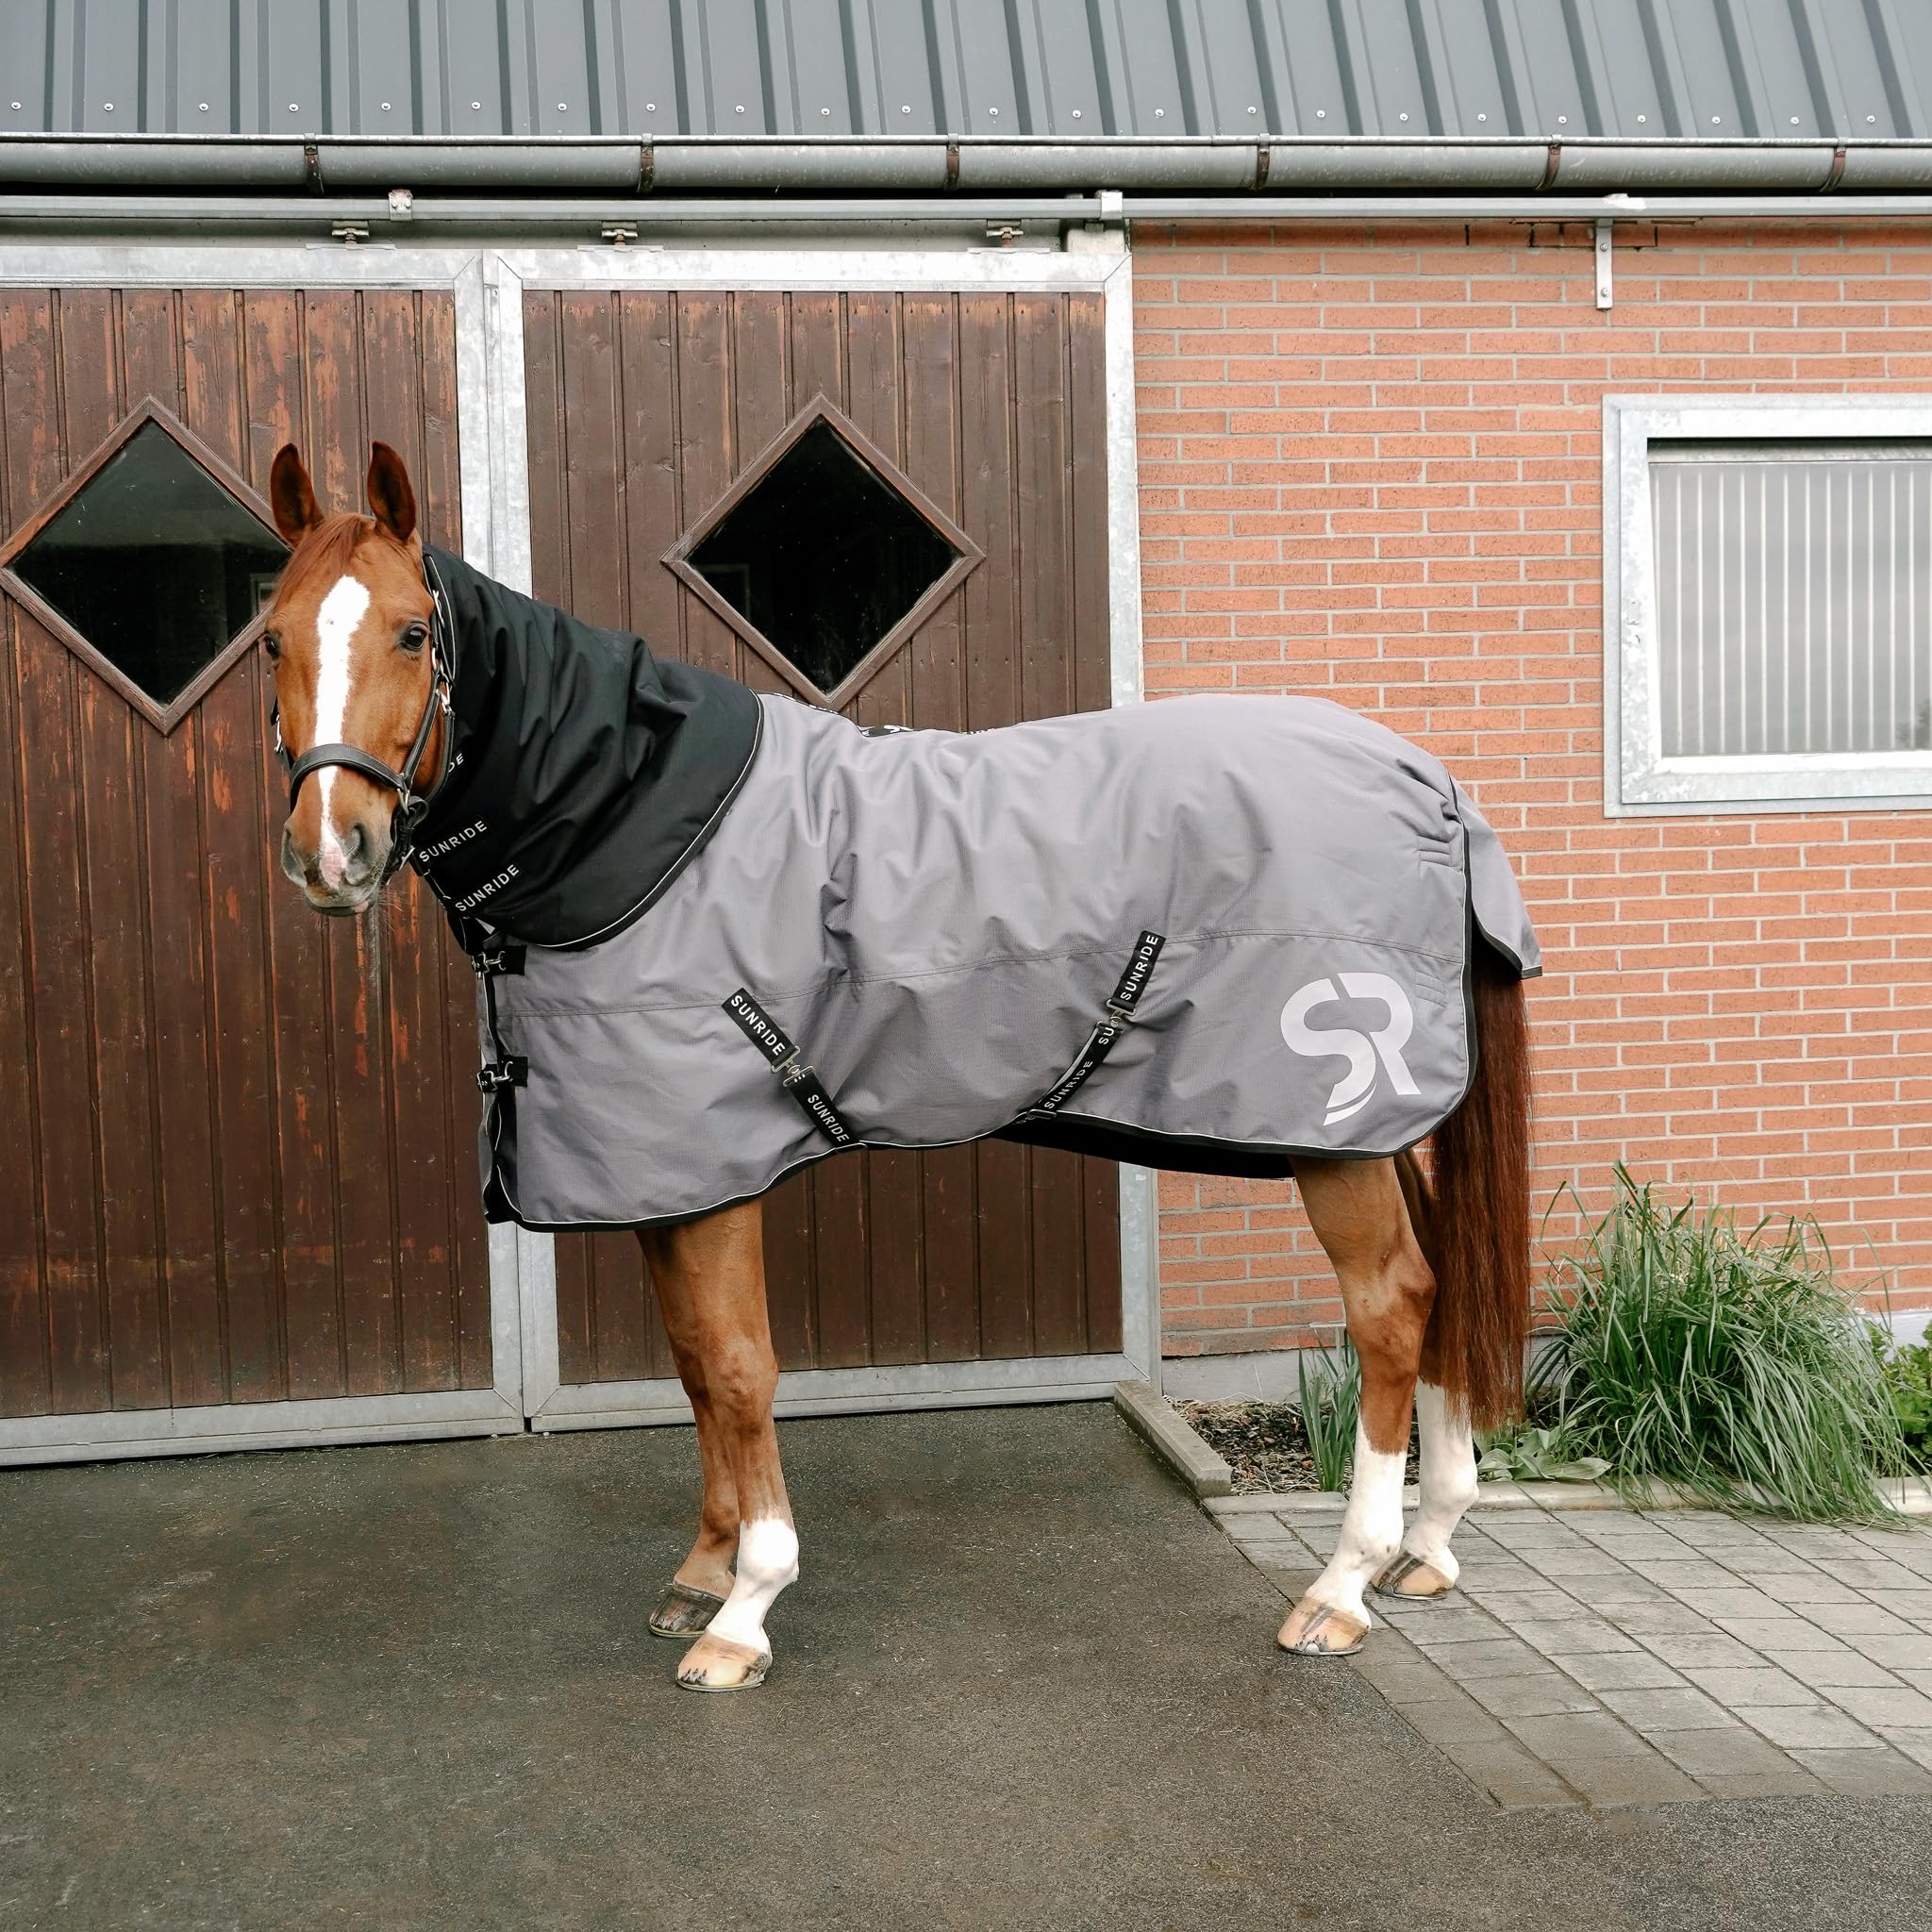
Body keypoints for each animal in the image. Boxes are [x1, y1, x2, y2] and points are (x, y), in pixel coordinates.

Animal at [263, 440, 1534, 1692]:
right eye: (271, 636)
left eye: (412, 632)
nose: (332, 851)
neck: (632, 821)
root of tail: (1424, 781)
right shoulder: (659, 1174)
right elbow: (691, 1364)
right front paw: (701, 1569)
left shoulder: (715, 1171)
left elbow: (739, 1367)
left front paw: (747, 1606)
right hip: (1367, 1127)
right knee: (1440, 1283)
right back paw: (1425, 1544)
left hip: (1331, 1129)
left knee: (1389, 1305)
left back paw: (1340, 1588)